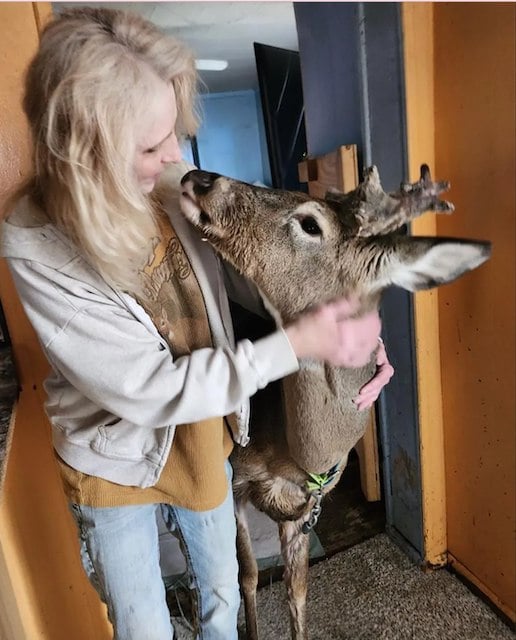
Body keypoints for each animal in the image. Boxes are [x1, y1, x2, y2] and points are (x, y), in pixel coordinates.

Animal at [179, 164, 491, 640]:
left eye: (311, 224)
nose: (200, 177)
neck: (298, 458)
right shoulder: (234, 482)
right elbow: (247, 576)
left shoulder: (305, 511)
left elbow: (297, 593)